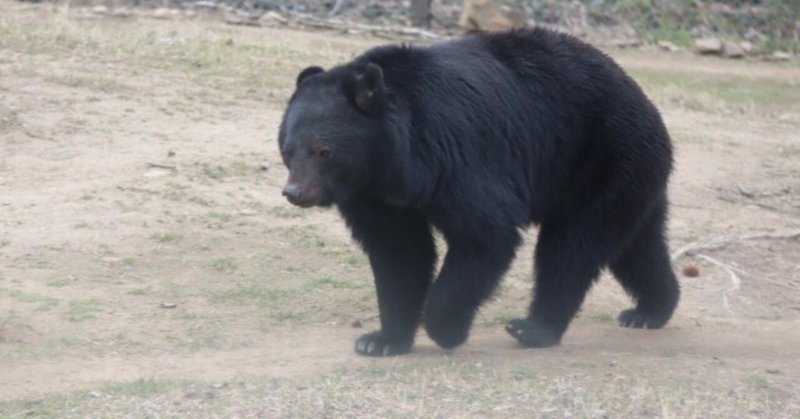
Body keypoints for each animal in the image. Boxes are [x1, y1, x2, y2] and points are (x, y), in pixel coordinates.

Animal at [278, 27, 680, 358]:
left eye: (323, 151)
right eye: (287, 148)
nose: (294, 192)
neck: (390, 160)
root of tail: (646, 103)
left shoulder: (457, 156)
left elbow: (485, 232)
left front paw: (446, 329)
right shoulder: (374, 193)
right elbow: (398, 250)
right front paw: (381, 340)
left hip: (600, 157)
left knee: (572, 246)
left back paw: (533, 328)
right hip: (625, 174)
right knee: (636, 245)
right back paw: (650, 310)